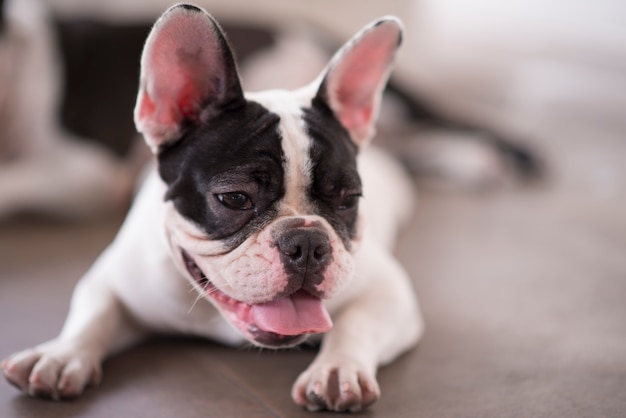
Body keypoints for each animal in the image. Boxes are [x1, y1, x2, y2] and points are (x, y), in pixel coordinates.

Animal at [2, 4, 422, 412]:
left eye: (349, 200)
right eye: (235, 198)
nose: (307, 242)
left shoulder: (389, 293)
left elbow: (356, 325)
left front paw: (337, 370)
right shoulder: (113, 279)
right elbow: (94, 313)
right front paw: (58, 356)